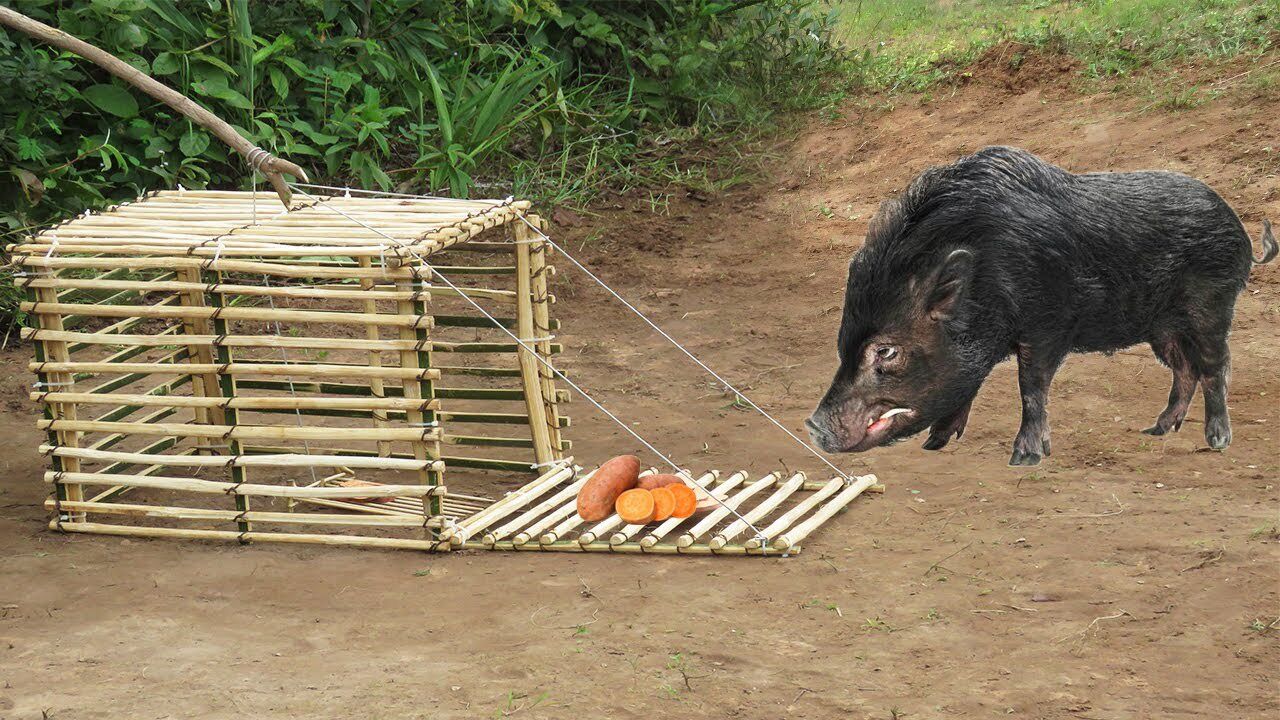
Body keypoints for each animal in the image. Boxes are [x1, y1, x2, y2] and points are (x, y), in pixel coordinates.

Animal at [803, 146, 1274, 466]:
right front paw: (935, 444)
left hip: (1212, 305)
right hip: (1162, 327)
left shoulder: (1048, 326)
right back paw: (1155, 430)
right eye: (843, 344)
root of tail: (1239, 229)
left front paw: (1024, 458)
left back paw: (1217, 441)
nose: (812, 426)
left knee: (1215, 365)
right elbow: (967, 384)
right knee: (1184, 368)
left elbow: (1030, 387)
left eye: (886, 351)